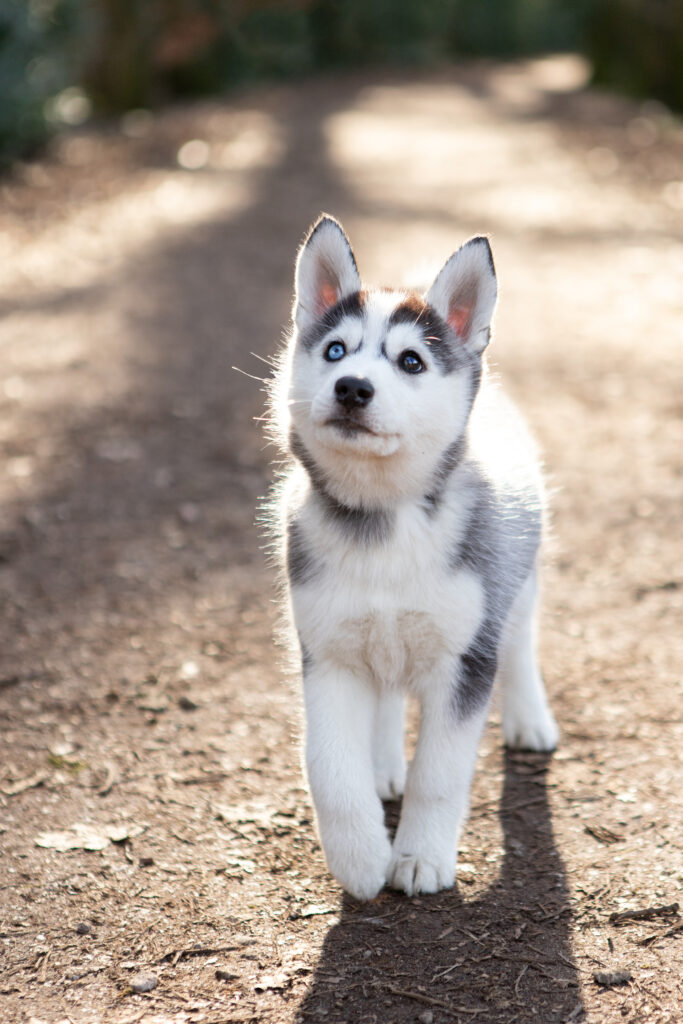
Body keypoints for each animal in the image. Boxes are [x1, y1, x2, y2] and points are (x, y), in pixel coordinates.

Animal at [270, 214, 557, 897]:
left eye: (411, 361)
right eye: (335, 351)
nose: (352, 387)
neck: (382, 521)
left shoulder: (466, 658)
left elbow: (441, 774)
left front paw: (421, 857)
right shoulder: (327, 653)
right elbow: (328, 767)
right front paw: (361, 861)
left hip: (520, 581)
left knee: (522, 641)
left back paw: (529, 719)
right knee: (387, 692)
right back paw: (381, 766)